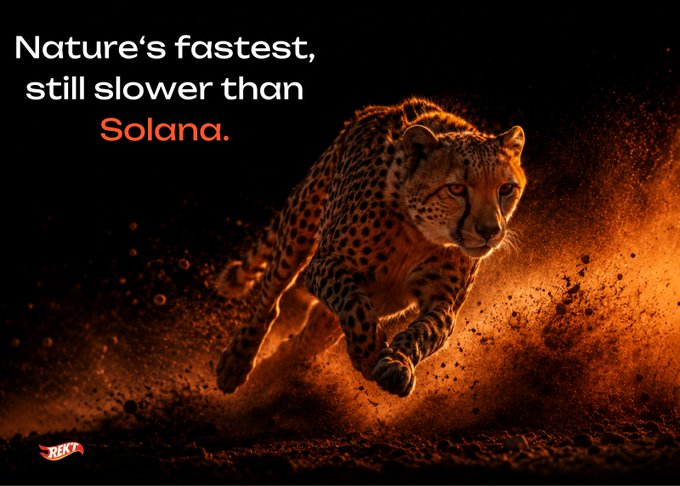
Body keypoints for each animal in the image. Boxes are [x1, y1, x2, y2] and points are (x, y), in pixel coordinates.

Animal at [216, 97, 526, 397]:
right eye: (457, 189)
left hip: (377, 304)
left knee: (306, 340)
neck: (419, 235)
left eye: (506, 188)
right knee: (270, 297)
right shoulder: (325, 262)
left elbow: (424, 332)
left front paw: (397, 364)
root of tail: (379, 109)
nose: (490, 231)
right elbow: (353, 303)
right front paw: (368, 352)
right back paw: (236, 362)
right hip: (299, 225)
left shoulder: (444, 302)